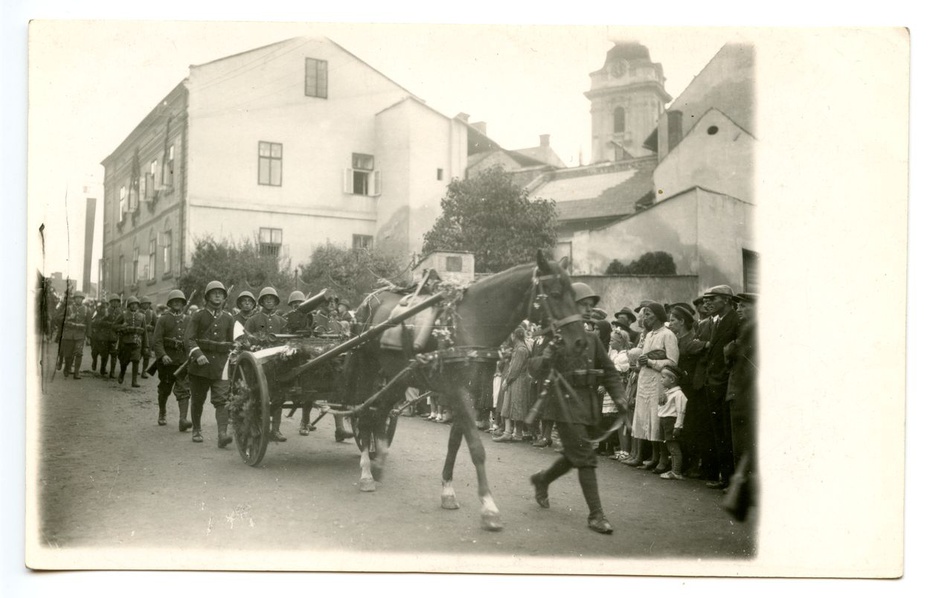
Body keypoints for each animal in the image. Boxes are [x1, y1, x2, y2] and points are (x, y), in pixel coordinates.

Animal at [340, 251, 588, 532]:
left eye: (573, 293)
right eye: (555, 293)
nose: (580, 342)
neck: (471, 323)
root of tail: (369, 302)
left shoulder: (468, 392)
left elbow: (455, 443)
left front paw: (448, 491)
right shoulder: (457, 391)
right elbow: (476, 447)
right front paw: (489, 507)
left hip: (400, 376)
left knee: (378, 412)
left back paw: (379, 460)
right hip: (367, 369)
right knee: (363, 414)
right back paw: (366, 472)